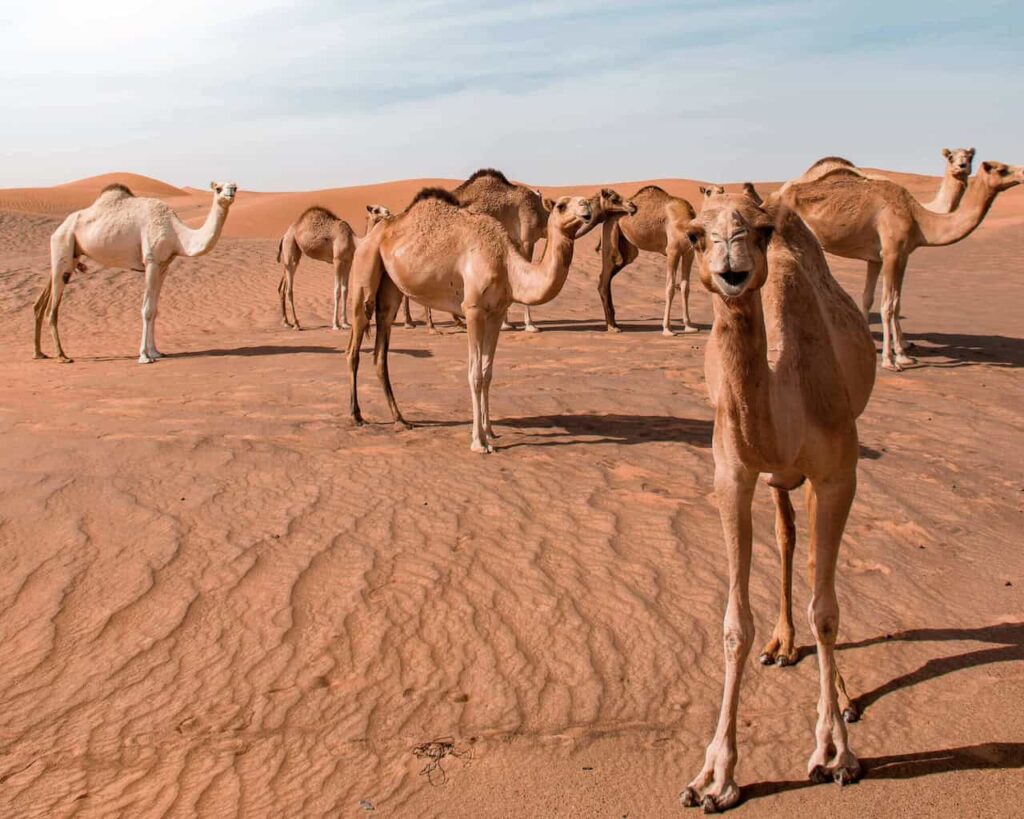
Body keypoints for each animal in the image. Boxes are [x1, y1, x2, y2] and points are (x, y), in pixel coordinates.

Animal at [34, 181, 237, 364]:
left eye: (234, 185)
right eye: (218, 188)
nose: (231, 191)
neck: (176, 234)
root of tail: (59, 228)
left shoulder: (164, 266)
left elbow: (155, 309)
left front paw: (156, 352)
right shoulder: (151, 261)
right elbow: (146, 310)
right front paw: (144, 356)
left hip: (71, 256)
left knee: (45, 296)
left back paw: (39, 352)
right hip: (63, 243)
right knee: (53, 309)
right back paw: (62, 356)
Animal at [345, 188, 592, 452]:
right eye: (561, 206)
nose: (587, 206)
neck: (507, 265)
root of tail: (370, 236)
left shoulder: (496, 313)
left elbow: (487, 372)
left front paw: (490, 431)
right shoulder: (473, 309)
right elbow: (475, 374)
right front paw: (479, 442)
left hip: (390, 289)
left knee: (380, 351)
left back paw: (400, 419)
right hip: (364, 271)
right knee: (354, 347)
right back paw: (356, 415)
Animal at [593, 185, 700, 335]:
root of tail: (606, 218)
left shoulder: (689, 252)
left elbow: (685, 287)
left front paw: (689, 326)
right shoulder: (672, 251)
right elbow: (670, 288)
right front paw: (667, 329)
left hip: (628, 250)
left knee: (608, 277)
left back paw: (613, 323)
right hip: (609, 234)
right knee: (604, 278)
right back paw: (612, 327)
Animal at [679, 194, 876, 812]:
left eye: (760, 231)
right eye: (697, 235)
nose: (732, 270)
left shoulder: (837, 473)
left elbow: (828, 610)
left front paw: (834, 752)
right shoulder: (733, 474)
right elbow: (734, 625)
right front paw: (714, 777)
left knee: (814, 568)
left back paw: (843, 697)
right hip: (774, 479)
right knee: (788, 537)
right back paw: (783, 645)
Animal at [771, 159, 1024, 370]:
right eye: (1001, 169)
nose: (1022, 172)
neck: (919, 218)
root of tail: (776, 194)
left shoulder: (887, 256)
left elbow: (884, 300)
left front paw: (899, 353)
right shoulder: (892, 251)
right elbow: (888, 305)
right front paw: (890, 360)